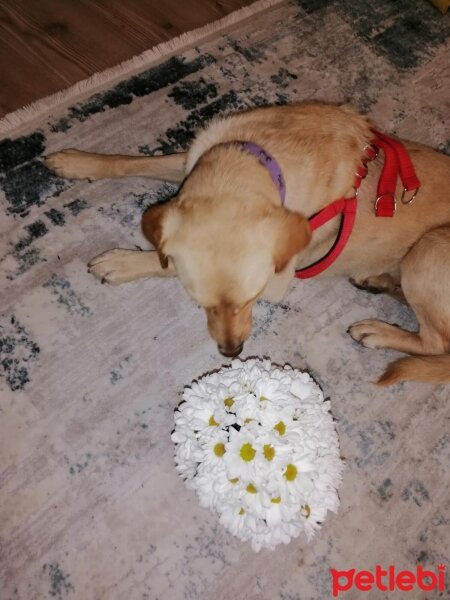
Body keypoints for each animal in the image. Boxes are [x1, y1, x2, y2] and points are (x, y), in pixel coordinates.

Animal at [44, 103, 450, 384]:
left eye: (253, 298)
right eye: (199, 304)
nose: (232, 351)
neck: (260, 164)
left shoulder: (281, 275)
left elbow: (166, 263)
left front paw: (122, 262)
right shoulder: (189, 162)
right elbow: (131, 161)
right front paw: (77, 162)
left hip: (429, 249)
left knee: (436, 343)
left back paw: (378, 331)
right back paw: (378, 281)